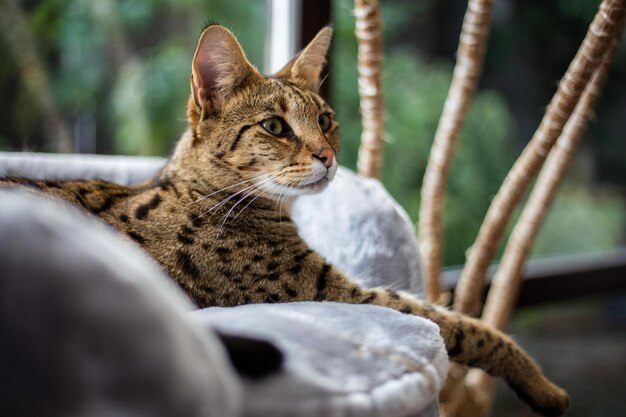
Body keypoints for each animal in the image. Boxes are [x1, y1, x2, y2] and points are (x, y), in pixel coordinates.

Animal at [0, 25, 564, 412]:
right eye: (275, 127)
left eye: (326, 120)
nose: (328, 156)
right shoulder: (338, 293)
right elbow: (465, 327)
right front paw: (542, 384)